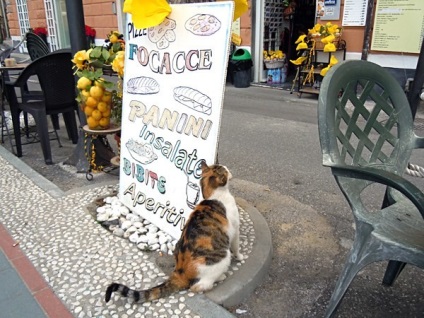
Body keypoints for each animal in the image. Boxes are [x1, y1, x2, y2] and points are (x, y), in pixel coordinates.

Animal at [105, 160, 243, 304]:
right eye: (224, 170)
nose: (227, 167)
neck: (213, 196)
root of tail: (179, 273)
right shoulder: (235, 229)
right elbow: (236, 245)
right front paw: (240, 257)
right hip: (223, 256)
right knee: (198, 286)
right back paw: (220, 277)